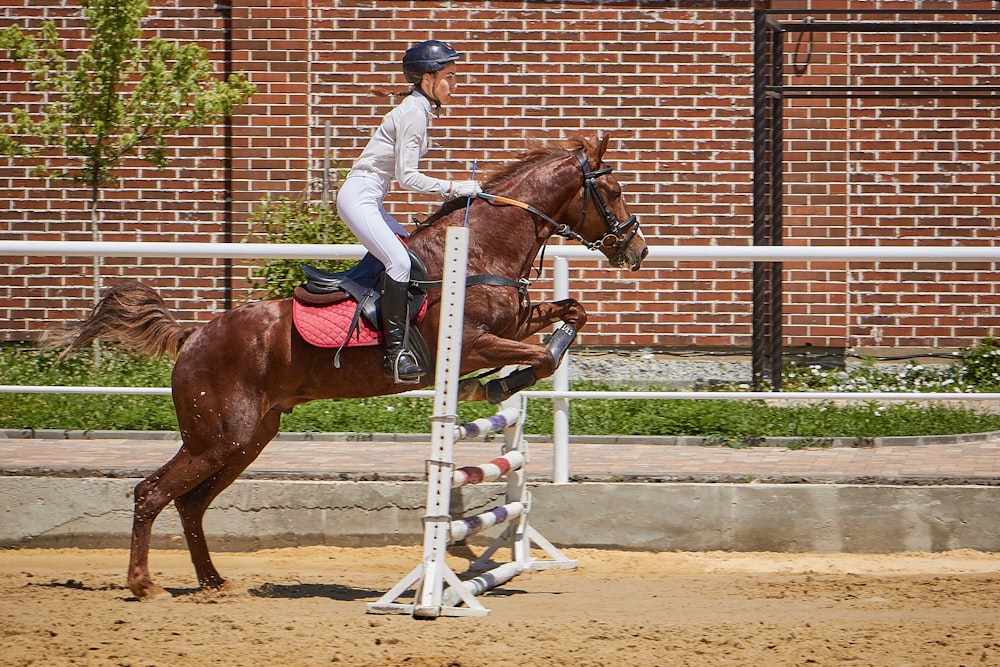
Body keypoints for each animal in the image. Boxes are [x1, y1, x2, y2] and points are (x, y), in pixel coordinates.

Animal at [48, 133, 648, 604]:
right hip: (217, 439)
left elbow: (572, 314)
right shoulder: (475, 343)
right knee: (151, 493)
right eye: (614, 192)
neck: (482, 250)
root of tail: (194, 337)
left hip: (248, 439)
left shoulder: (514, 324)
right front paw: (498, 387)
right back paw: (144, 584)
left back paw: (214, 583)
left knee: (191, 504)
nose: (637, 251)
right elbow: (539, 357)